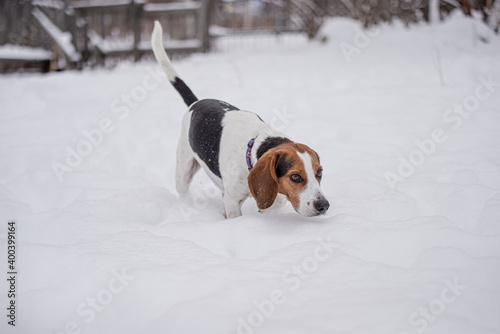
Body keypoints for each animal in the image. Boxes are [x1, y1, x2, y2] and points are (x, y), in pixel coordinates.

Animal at [150, 22, 330, 218]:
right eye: (295, 177)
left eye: (320, 172)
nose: (324, 205)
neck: (252, 149)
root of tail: (196, 102)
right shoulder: (233, 201)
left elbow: (275, 200)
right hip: (183, 169)